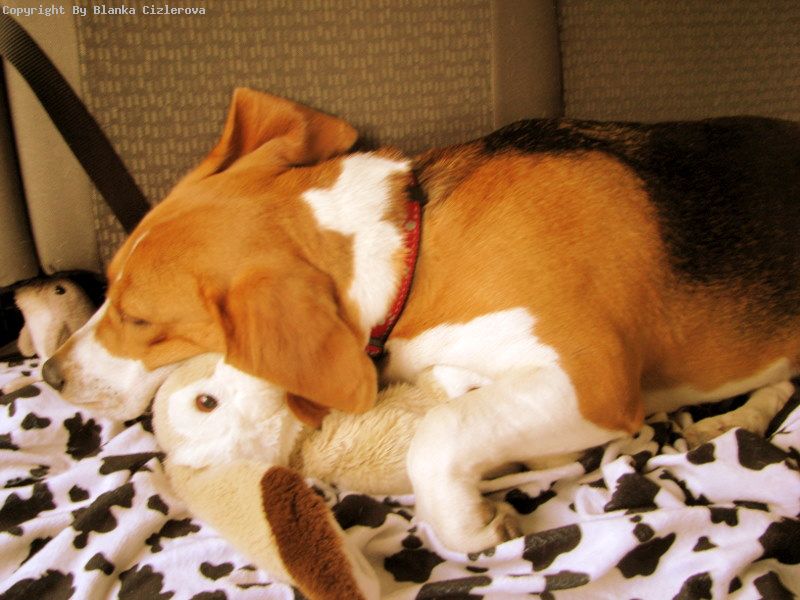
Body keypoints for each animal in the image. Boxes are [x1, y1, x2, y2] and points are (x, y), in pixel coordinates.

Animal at [43, 88, 800, 552]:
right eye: (107, 286)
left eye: (139, 320)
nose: (49, 374)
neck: (421, 245)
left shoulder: (595, 382)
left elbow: (440, 432)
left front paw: (470, 527)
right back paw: (734, 420)